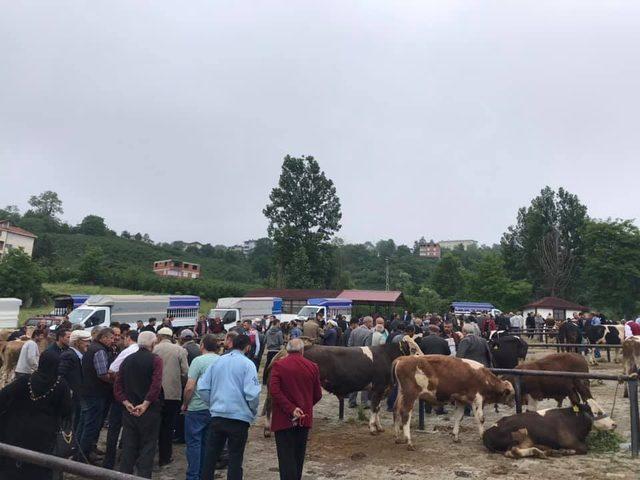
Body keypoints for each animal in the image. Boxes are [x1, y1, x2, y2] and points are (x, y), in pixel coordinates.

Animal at [262, 336, 422, 436]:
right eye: (413, 349)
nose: (423, 357)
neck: (386, 356)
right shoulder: (378, 387)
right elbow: (374, 407)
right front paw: (372, 428)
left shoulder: (382, 389)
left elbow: (376, 408)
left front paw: (379, 427)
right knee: (270, 404)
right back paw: (268, 429)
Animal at [484, 404, 616, 460]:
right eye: (598, 412)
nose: (614, 424)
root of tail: (486, 433)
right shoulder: (569, 441)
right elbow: (584, 448)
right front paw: (566, 451)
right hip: (520, 433)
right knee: (512, 452)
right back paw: (540, 452)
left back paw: (545, 450)